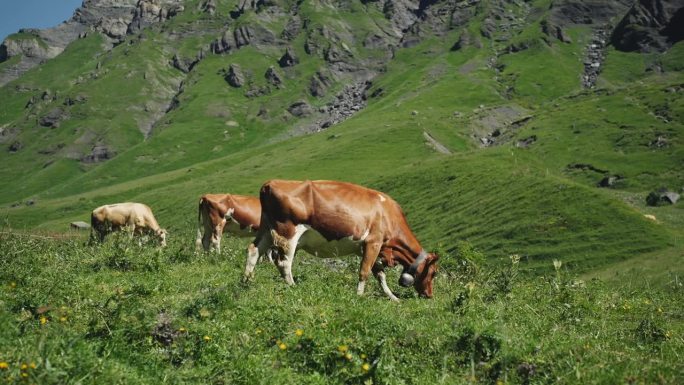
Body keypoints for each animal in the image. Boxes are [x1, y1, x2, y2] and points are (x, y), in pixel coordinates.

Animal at [244, 180, 438, 300]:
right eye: (434, 273)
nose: (430, 295)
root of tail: (270, 183)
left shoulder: (370, 248)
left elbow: (380, 275)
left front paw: (392, 297)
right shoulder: (373, 242)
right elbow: (364, 272)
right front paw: (359, 296)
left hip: (266, 229)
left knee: (253, 250)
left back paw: (246, 282)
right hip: (287, 232)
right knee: (284, 263)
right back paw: (293, 287)